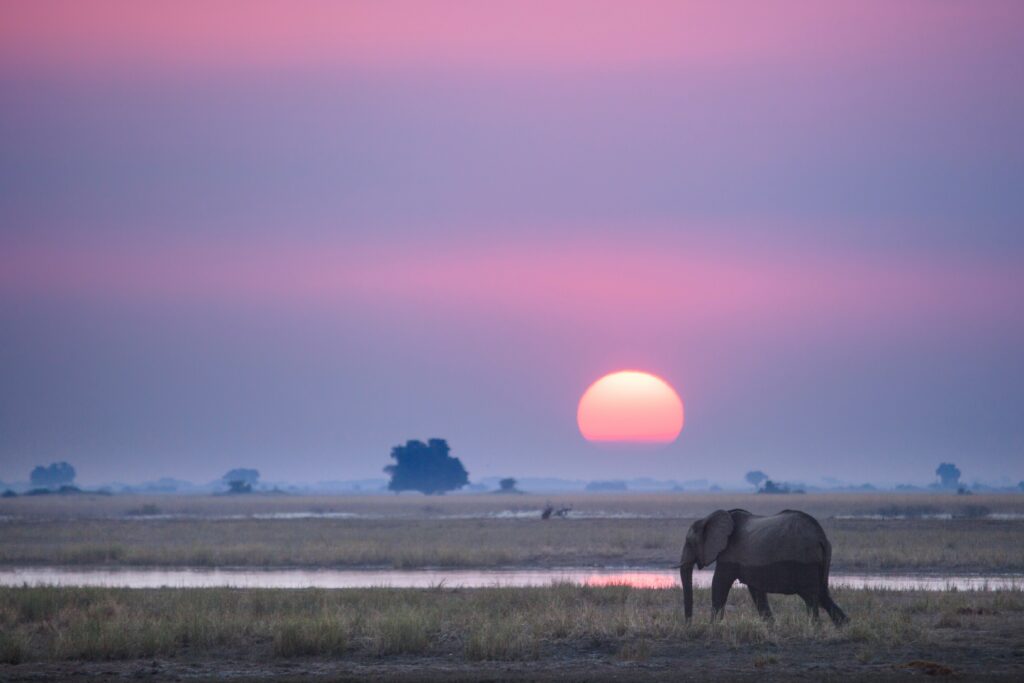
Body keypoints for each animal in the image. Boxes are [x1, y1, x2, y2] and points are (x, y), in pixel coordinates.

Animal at [678, 508, 848, 625]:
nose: (689, 625)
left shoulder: (729, 555)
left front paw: (712, 627)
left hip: (806, 562)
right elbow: (757, 592)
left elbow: (719, 584)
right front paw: (772, 628)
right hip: (822, 560)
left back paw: (815, 629)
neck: (708, 518)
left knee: (811, 597)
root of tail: (821, 537)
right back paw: (844, 627)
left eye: (690, 543)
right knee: (822, 594)